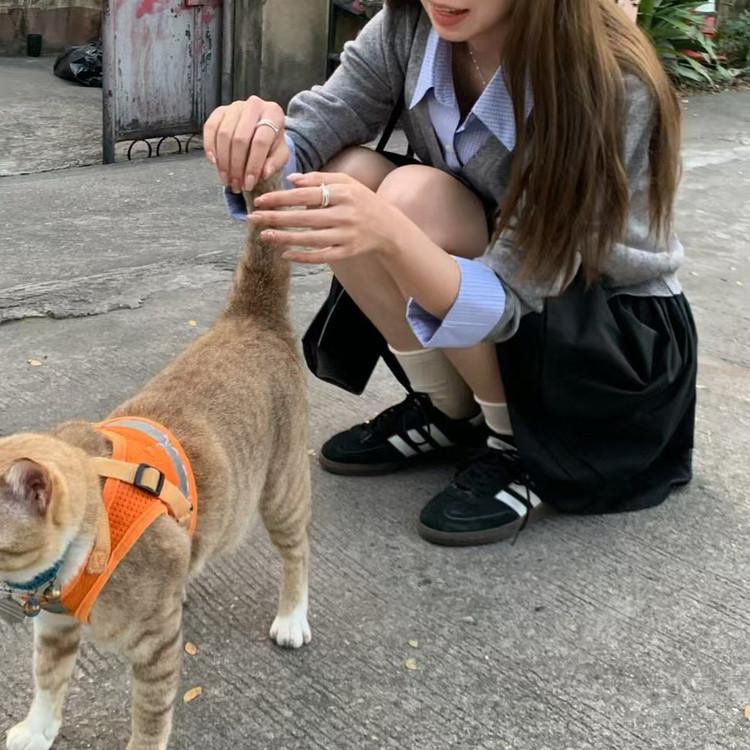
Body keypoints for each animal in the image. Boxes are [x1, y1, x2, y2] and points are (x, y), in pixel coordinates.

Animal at [0, 174, 311, 750]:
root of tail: (249, 315)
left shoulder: (156, 649)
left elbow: (150, 716)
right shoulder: (54, 627)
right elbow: (48, 681)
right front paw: (38, 728)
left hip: (282, 488)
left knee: (297, 551)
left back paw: (292, 615)